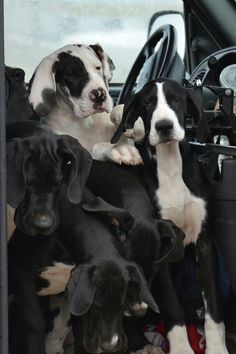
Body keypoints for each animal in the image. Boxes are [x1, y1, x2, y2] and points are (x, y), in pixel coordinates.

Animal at [112, 78, 229, 354]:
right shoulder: (160, 249)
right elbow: (172, 306)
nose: (164, 126)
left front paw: (216, 347)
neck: (170, 165)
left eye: (176, 99)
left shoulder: (205, 243)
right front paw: (181, 348)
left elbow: (213, 305)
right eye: (147, 103)